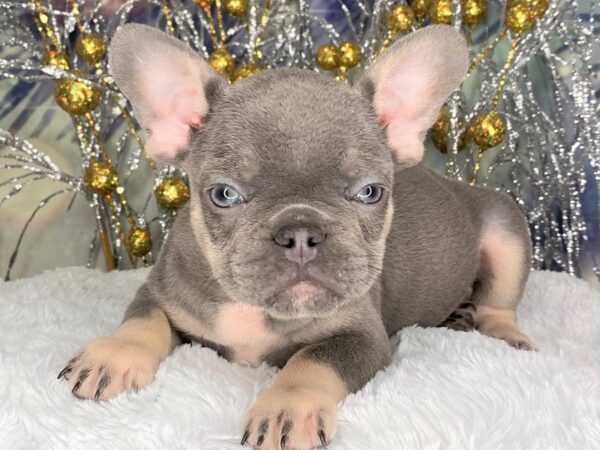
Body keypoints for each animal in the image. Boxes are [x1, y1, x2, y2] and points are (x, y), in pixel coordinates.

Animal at [59, 23, 536, 450]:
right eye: (224, 194)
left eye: (370, 192)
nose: (301, 234)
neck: (253, 311)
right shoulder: (162, 291)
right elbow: (142, 319)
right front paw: (112, 354)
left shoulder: (361, 336)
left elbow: (311, 360)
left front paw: (285, 409)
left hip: (507, 229)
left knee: (500, 301)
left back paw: (501, 333)